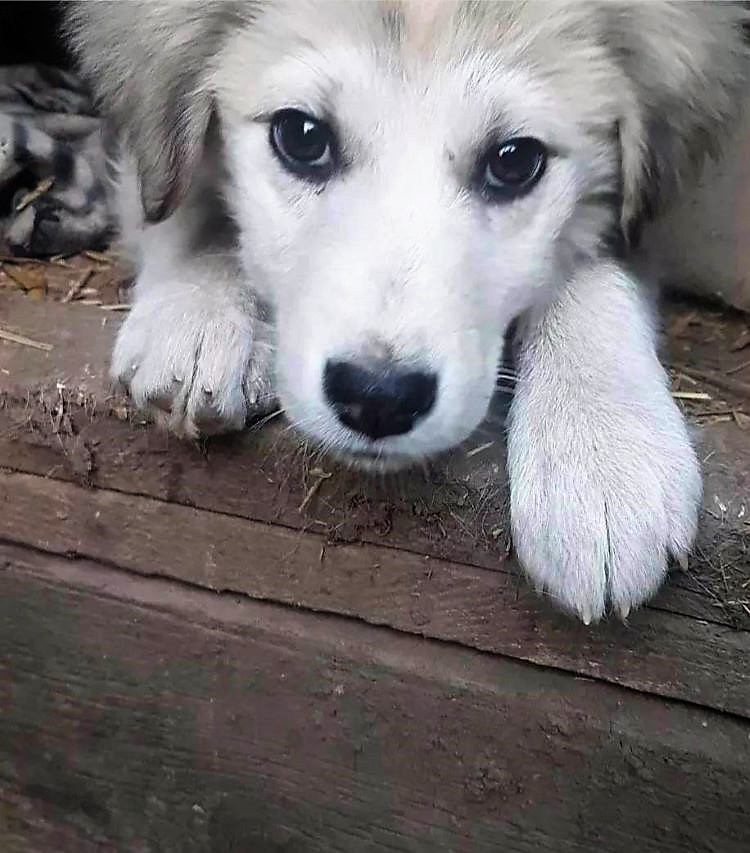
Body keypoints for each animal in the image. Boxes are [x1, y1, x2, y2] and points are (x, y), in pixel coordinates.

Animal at [66, 3, 750, 624]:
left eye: (513, 160)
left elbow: (594, 257)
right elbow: (179, 204)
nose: (379, 397)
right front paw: (201, 310)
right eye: (302, 137)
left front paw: (603, 448)